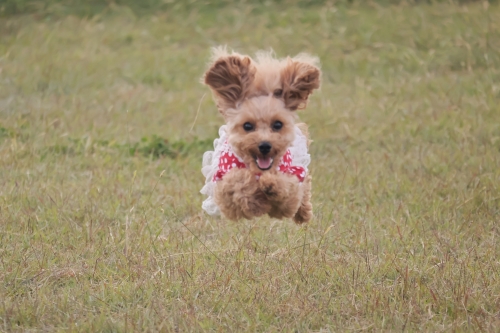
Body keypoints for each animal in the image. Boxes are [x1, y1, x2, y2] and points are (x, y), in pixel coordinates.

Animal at [200, 47, 320, 223]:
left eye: (277, 124)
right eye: (247, 126)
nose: (264, 145)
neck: (258, 171)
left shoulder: (289, 195)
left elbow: (288, 187)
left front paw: (271, 184)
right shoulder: (225, 193)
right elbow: (236, 183)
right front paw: (256, 201)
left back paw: (303, 213)